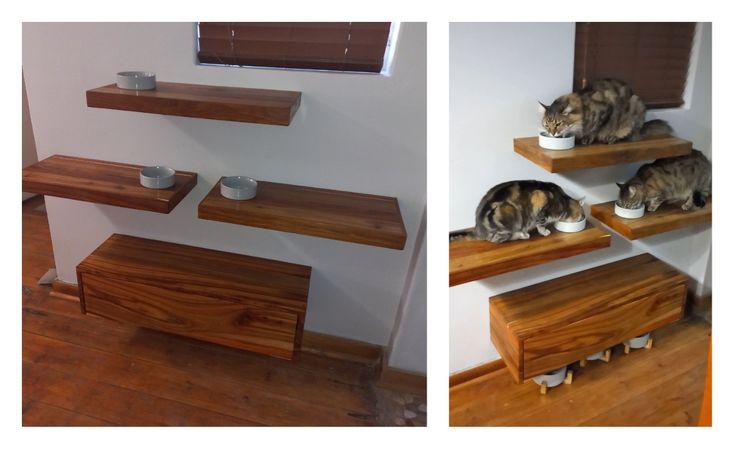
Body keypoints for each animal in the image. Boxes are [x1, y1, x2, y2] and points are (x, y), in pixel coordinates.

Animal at [448, 180, 588, 244]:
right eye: (582, 214)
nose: (583, 217)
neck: (563, 201)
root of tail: (478, 229)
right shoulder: (540, 197)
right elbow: (540, 223)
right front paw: (544, 232)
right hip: (507, 213)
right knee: (498, 239)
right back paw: (522, 234)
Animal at [540, 78, 672, 145]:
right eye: (547, 124)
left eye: (558, 123)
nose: (552, 133)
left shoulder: (605, 109)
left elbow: (595, 129)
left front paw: (587, 139)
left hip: (636, 105)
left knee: (628, 134)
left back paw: (612, 138)